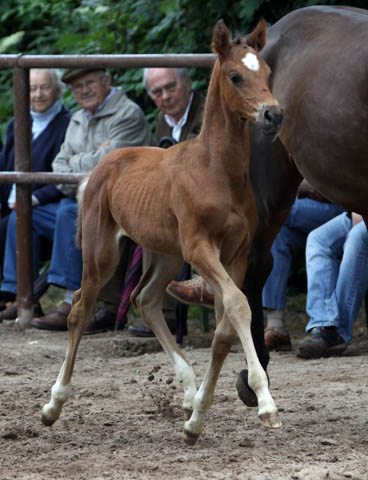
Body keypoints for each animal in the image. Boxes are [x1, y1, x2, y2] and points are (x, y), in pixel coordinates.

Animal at [40, 20, 284, 444]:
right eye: (235, 75)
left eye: (267, 73)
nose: (273, 114)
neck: (217, 171)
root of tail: (99, 168)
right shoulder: (200, 248)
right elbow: (239, 306)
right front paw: (265, 405)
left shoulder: (235, 255)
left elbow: (225, 326)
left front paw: (197, 418)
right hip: (104, 252)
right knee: (81, 308)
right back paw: (53, 405)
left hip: (165, 254)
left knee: (146, 298)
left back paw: (187, 391)